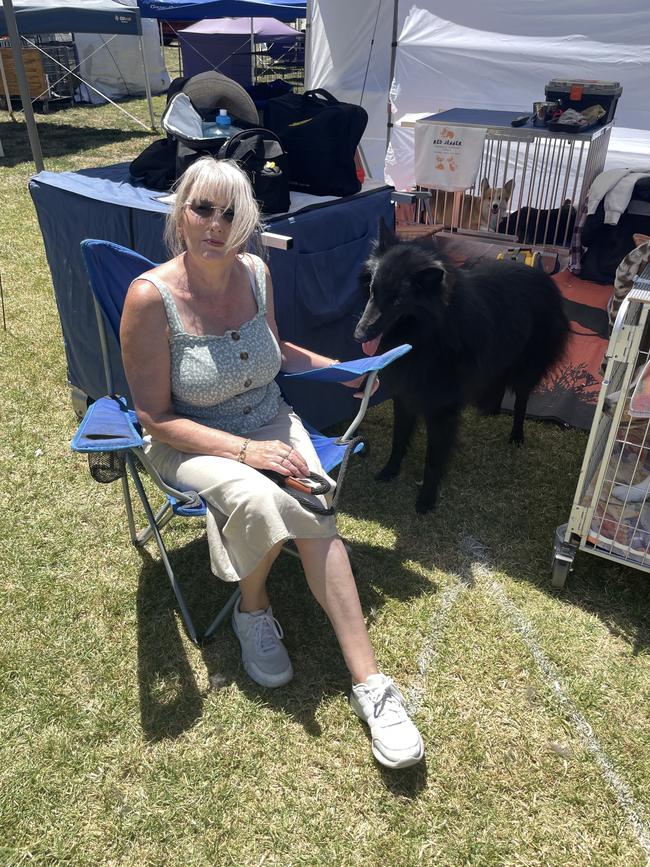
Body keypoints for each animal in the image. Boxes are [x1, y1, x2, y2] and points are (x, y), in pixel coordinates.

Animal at [354, 220, 568, 512]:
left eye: (397, 300)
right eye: (372, 290)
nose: (359, 334)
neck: (429, 334)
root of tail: (541, 273)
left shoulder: (441, 409)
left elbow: (433, 459)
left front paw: (426, 499)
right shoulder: (405, 395)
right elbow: (398, 439)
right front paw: (390, 471)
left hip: (527, 366)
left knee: (522, 399)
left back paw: (516, 435)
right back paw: (490, 410)